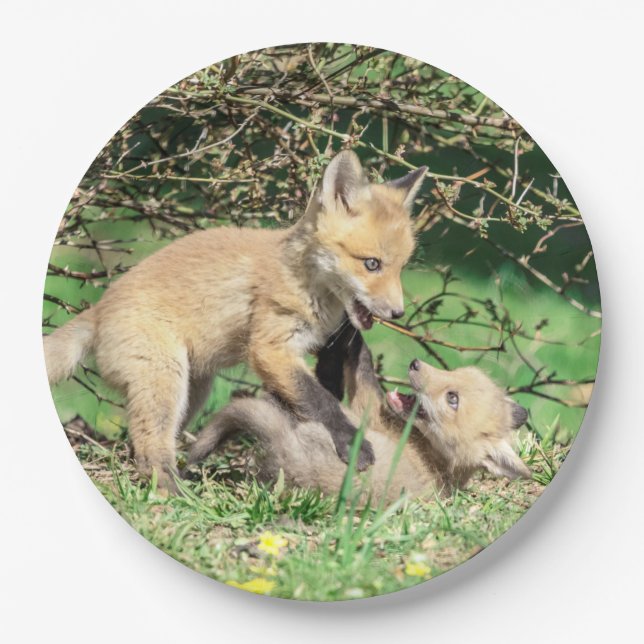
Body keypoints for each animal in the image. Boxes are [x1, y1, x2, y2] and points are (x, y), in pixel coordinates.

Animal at [44, 150, 427, 491]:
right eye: (372, 264)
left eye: (400, 267)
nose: (398, 313)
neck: (304, 281)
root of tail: (99, 308)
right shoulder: (270, 347)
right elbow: (321, 400)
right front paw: (352, 442)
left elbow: (319, 392)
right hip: (165, 379)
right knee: (149, 447)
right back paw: (173, 489)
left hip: (193, 389)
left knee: (142, 443)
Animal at [187, 327, 531, 503]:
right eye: (455, 373)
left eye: (453, 399)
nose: (415, 364)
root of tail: (289, 455)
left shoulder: (368, 410)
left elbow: (363, 365)